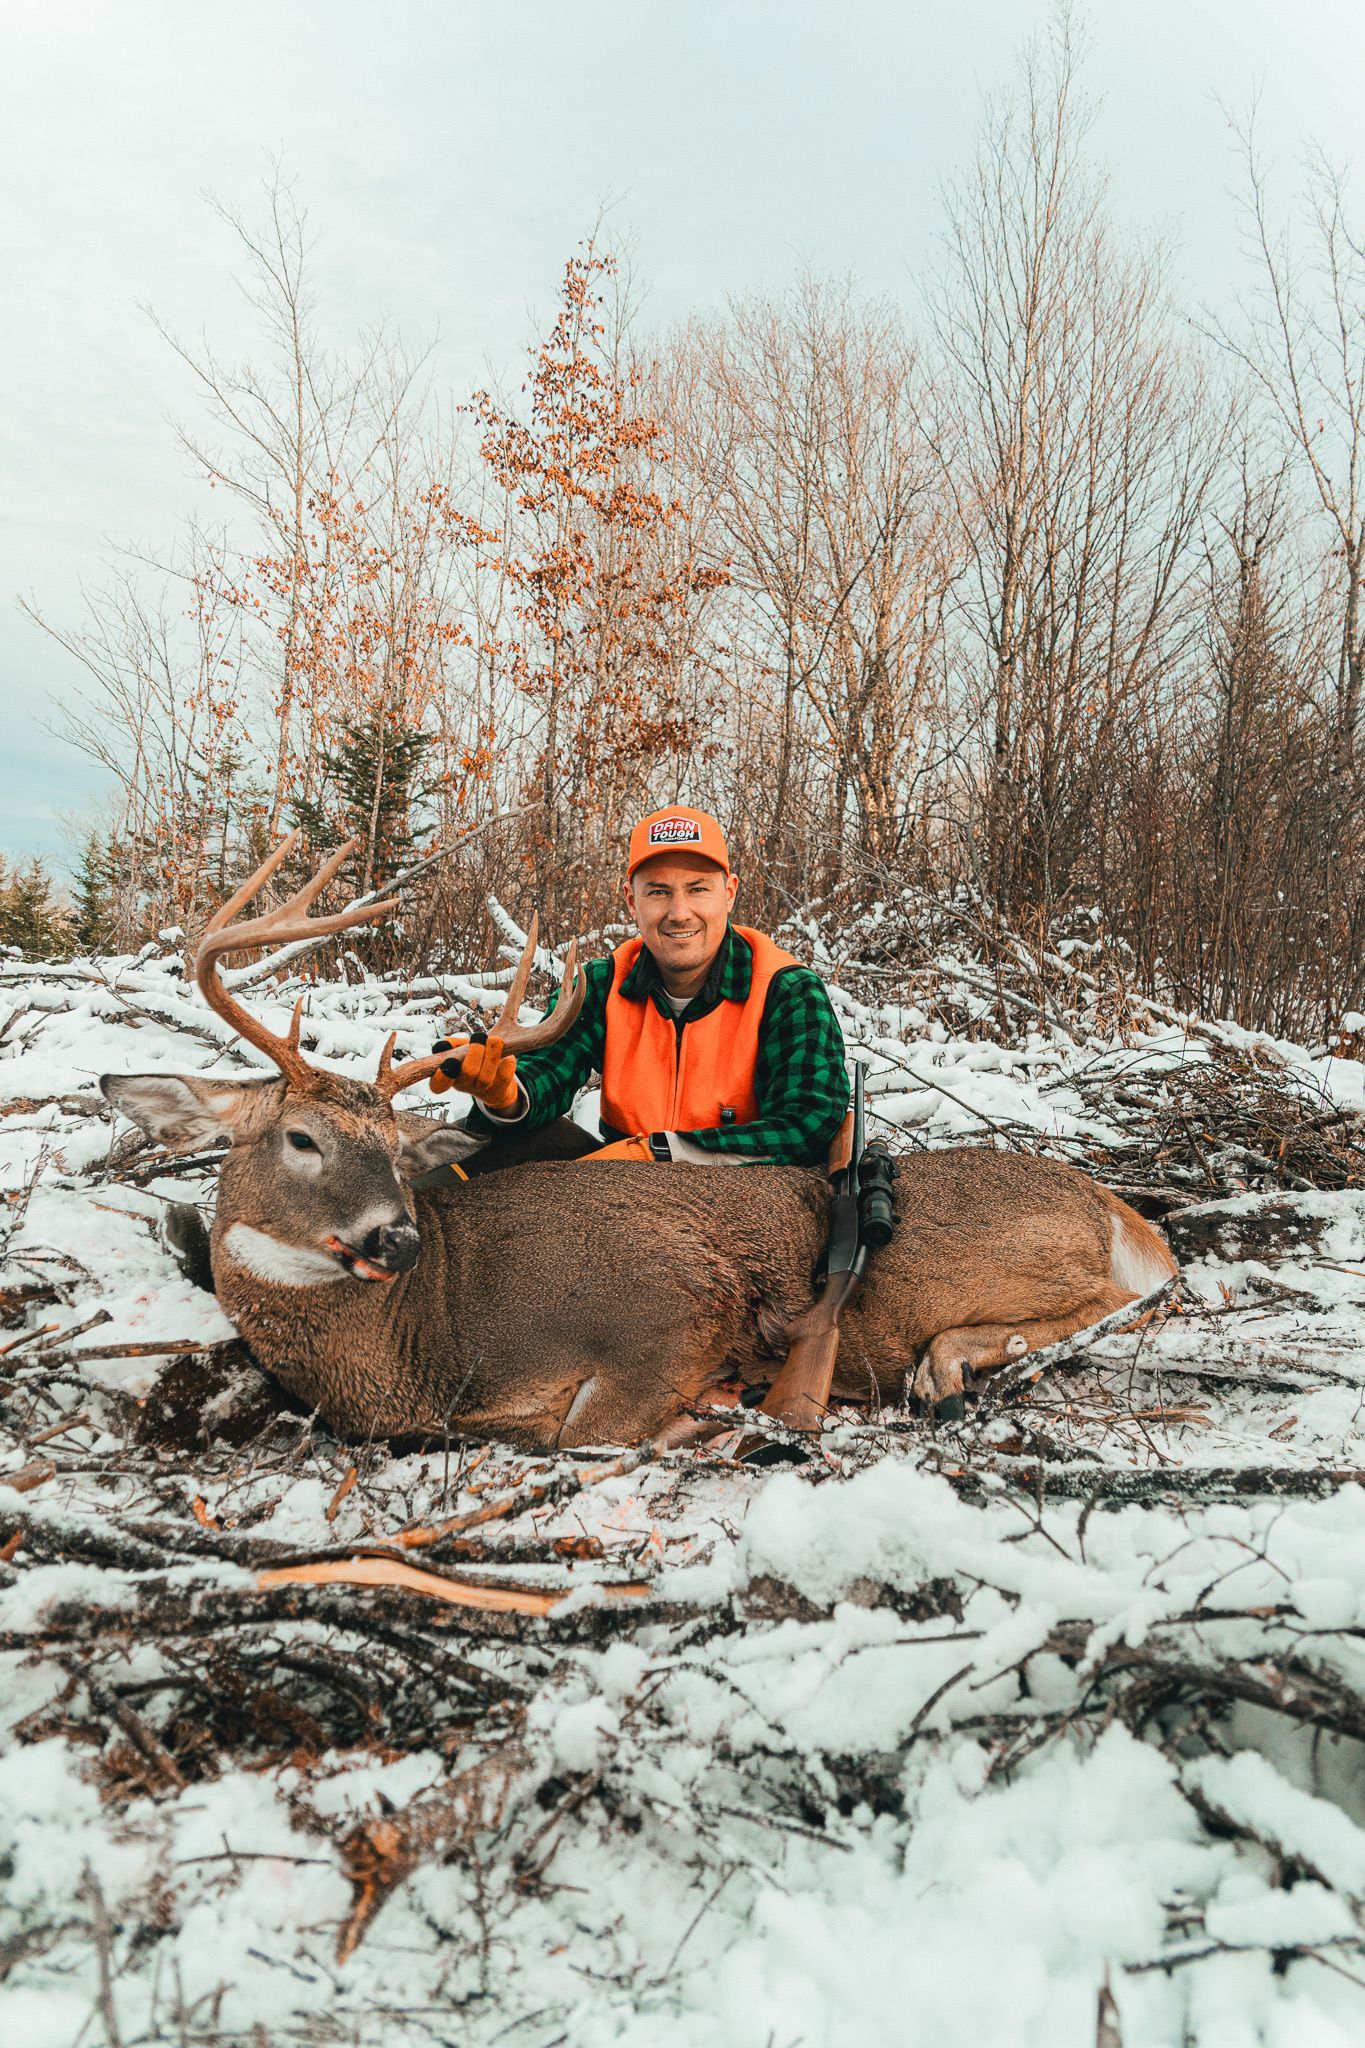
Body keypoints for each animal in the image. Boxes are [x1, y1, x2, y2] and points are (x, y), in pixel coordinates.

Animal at [99, 837, 1178, 1449]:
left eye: (396, 1153)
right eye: (300, 1138)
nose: (393, 1236)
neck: (426, 1333)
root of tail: (1119, 1210)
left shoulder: (671, 1301)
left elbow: (585, 1435)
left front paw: (708, 1417)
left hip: (980, 1263)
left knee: (1117, 1302)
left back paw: (946, 1364)